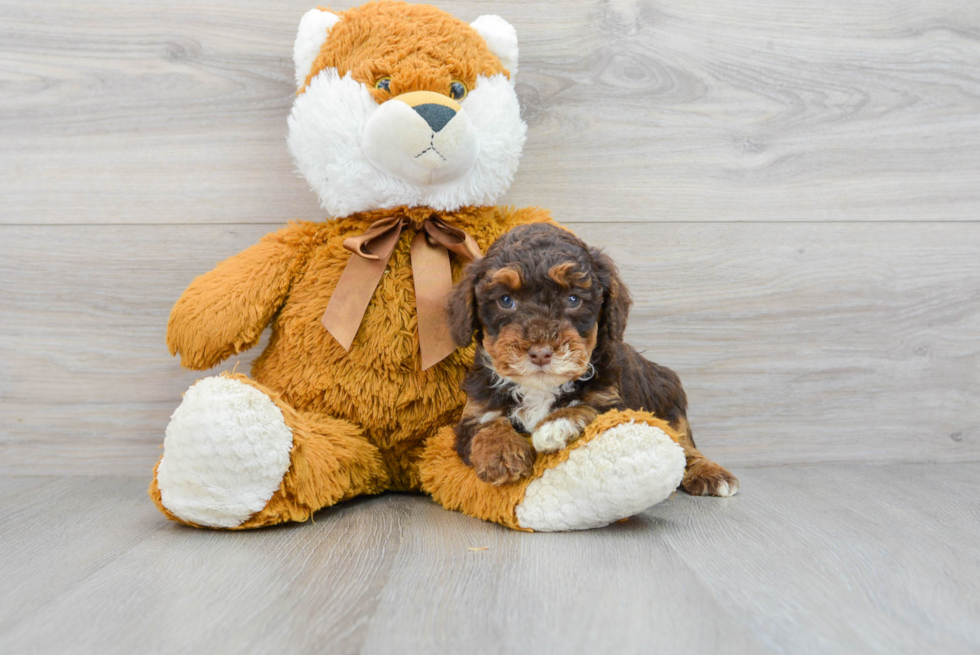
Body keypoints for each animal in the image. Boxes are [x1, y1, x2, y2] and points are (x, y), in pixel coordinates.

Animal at [448, 223, 740, 494]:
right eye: (506, 300)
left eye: (573, 299)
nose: (541, 352)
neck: (540, 388)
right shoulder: (474, 410)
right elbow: (485, 425)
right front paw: (502, 454)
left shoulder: (613, 401)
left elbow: (590, 408)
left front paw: (555, 425)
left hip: (670, 400)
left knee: (684, 443)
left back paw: (711, 474)